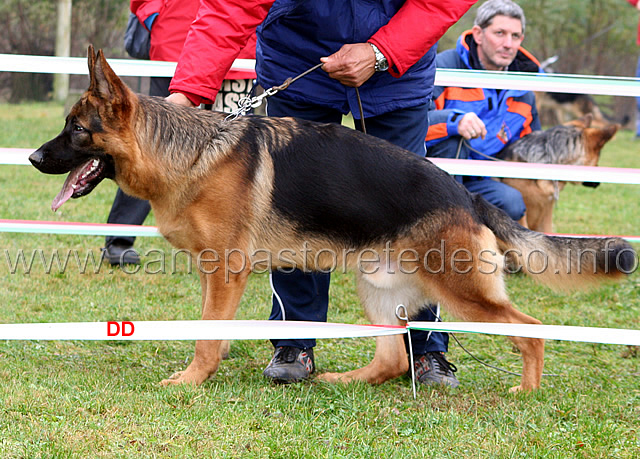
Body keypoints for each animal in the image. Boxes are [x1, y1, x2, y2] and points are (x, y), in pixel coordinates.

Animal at [31, 46, 636, 394]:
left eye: (76, 130)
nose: (35, 158)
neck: (188, 153)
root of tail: (465, 196)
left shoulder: (226, 271)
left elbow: (207, 336)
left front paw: (190, 380)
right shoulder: (214, 273)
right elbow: (210, 330)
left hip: (461, 292)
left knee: (530, 331)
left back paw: (525, 393)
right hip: (376, 286)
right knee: (391, 357)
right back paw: (340, 380)